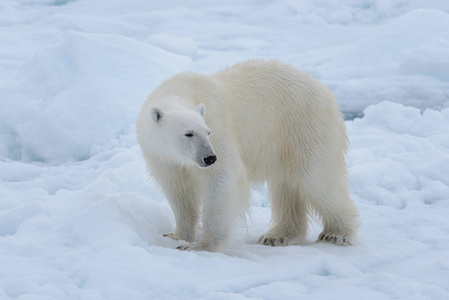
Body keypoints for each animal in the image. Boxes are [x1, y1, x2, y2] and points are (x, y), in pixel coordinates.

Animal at [135, 58, 358, 251]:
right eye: (188, 133)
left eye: (207, 132)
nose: (209, 158)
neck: (181, 90)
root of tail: (324, 90)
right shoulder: (162, 157)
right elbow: (178, 190)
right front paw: (177, 235)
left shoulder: (219, 125)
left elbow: (222, 179)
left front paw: (201, 245)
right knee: (287, 187)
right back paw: (277, 236)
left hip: (306, 127)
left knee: (317, 180)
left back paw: (336, 233)